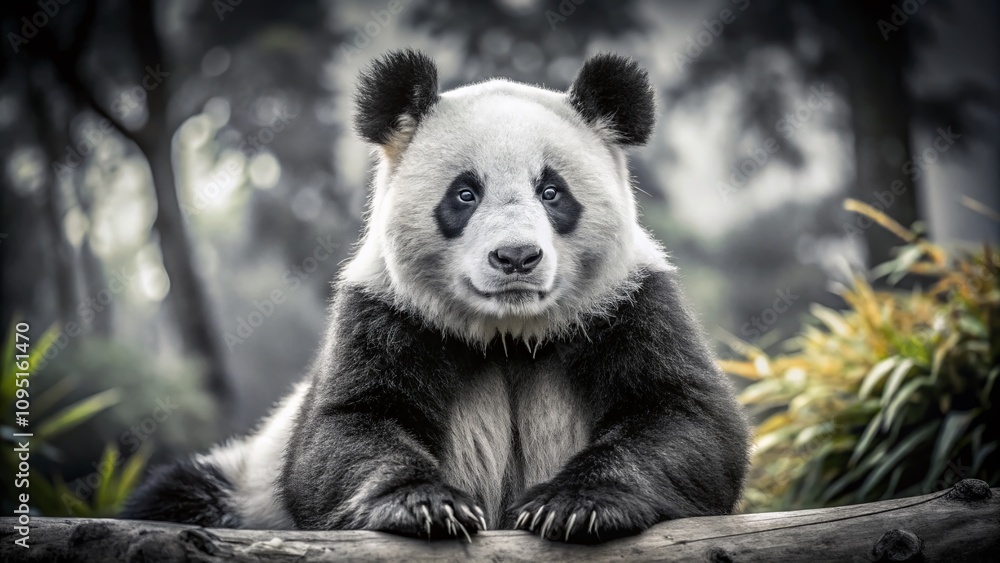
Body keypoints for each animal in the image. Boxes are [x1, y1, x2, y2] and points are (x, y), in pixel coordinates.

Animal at [122, 49, 750, 543]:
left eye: (552, 191)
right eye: (465, 194)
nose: (516, 258)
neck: (508, 331)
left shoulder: (629, 301)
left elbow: (685, 418)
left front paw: (575, 506)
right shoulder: (384, 309)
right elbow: (346, 427)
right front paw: (428, 506)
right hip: (239, 483)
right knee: (176, 494)